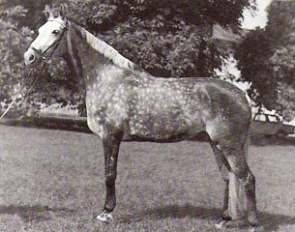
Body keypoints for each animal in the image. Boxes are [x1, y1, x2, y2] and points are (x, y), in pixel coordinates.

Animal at [23, 4, 260, 231]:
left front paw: (106, 213)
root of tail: (242, 95)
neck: (106, 79)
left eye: (55, 32)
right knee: (228, 177)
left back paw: (253, 224)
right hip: (215, 143)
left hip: (228, 144)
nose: (29, 57)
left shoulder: (110, 137)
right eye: (39, 30)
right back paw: (223, 220)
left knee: (246, 177)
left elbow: (110, 174)